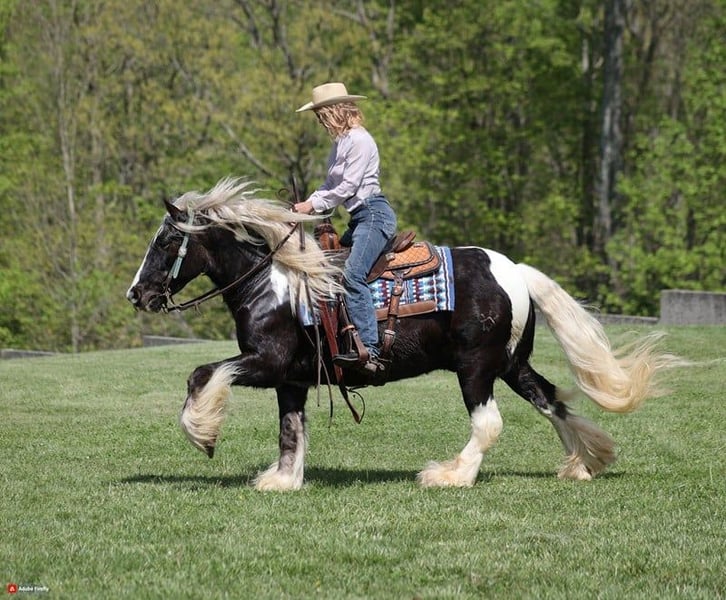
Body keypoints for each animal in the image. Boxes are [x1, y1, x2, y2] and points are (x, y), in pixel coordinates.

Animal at [126, 177, 678, 491]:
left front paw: (203, 435)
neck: (277, 283)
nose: (137, 294)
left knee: (490, 422)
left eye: (168, 240)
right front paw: (282, 480)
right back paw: (584, 463)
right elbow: (291, 429)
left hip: (476, 368)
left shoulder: (267, 363)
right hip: (511, 363)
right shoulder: (292, 378)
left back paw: (450, 476)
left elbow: (202, 374)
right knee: (551, 401)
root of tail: (515, 271)